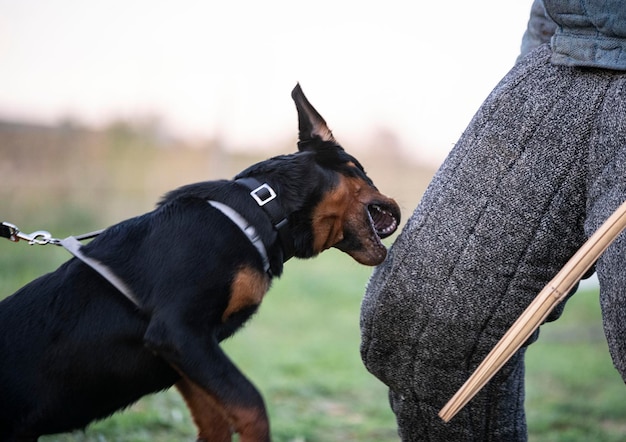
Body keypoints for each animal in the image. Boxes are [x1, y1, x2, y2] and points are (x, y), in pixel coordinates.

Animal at [0, 84, 400, 440]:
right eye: (363, 169)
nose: (396, 202)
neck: (262, 210)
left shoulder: (187, 353)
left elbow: (217, 422)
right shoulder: (179, 331)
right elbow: (252, 407)